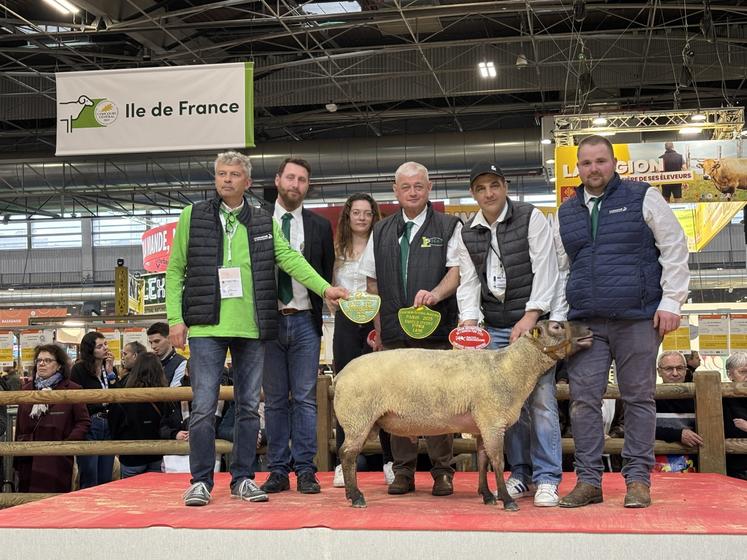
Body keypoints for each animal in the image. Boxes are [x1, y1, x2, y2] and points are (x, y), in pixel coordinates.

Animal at [336, 320, 592, 512]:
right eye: (556, 327)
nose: (589, 330)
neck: (511, 369)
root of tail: (339, 376)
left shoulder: (482, 426)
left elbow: (483, 461)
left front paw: (487, 495)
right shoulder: (492, 421)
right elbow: (498, 462)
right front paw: (507, 500)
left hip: (361, 421)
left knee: (347, 454)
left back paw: (351, 494)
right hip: (358, 418)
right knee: (348, 455)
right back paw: (356, 496)